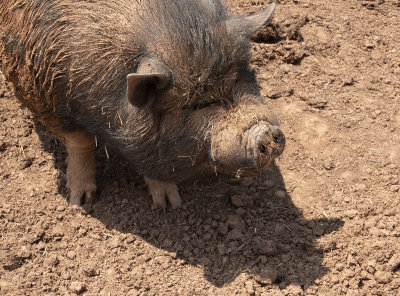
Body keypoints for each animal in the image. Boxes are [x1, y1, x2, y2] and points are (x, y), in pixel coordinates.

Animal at [1, 0, 286, 209]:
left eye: (245, 79)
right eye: (196, 105)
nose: (268, 132)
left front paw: (170, 205)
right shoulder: (43, 95)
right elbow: (80, 143)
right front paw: (82, 202)